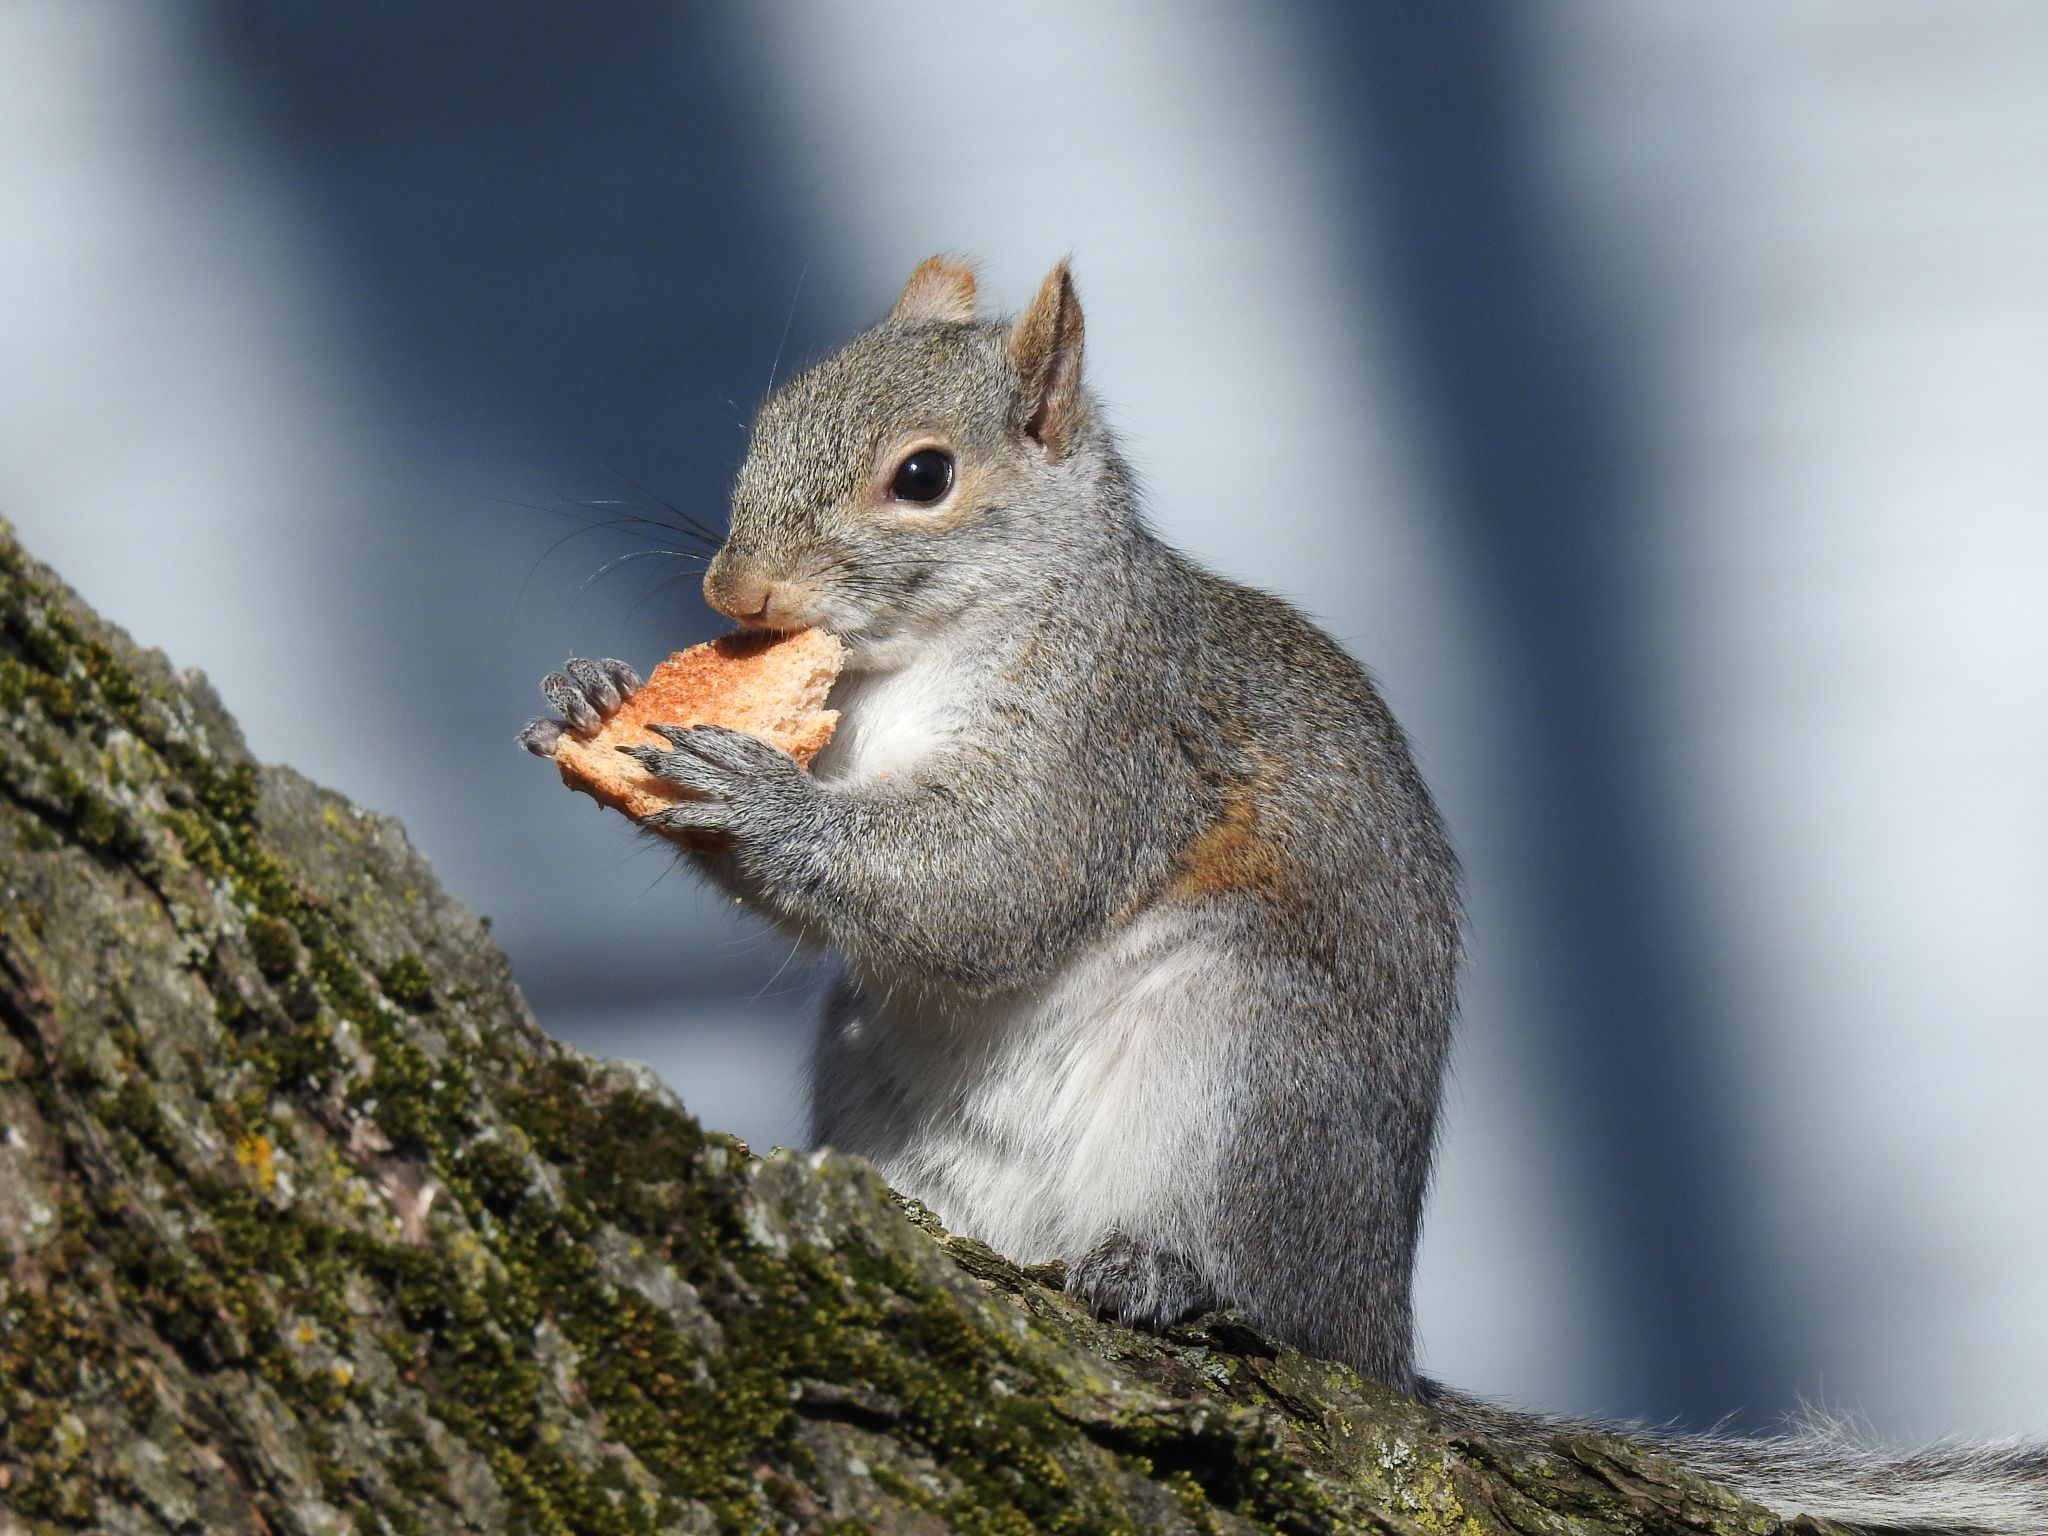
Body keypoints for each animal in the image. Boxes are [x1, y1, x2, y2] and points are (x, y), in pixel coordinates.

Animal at [524, 259, 2048, 1531]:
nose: (731, 588)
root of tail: (1382, 1329)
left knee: (1266, 1301)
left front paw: (755, 799)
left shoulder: (1118, 737)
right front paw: (595, 694)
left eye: (922, 475)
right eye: (769, 415)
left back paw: (1170, 1279)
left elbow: (989, 890)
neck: (925, 661)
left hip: (1247, 1059)